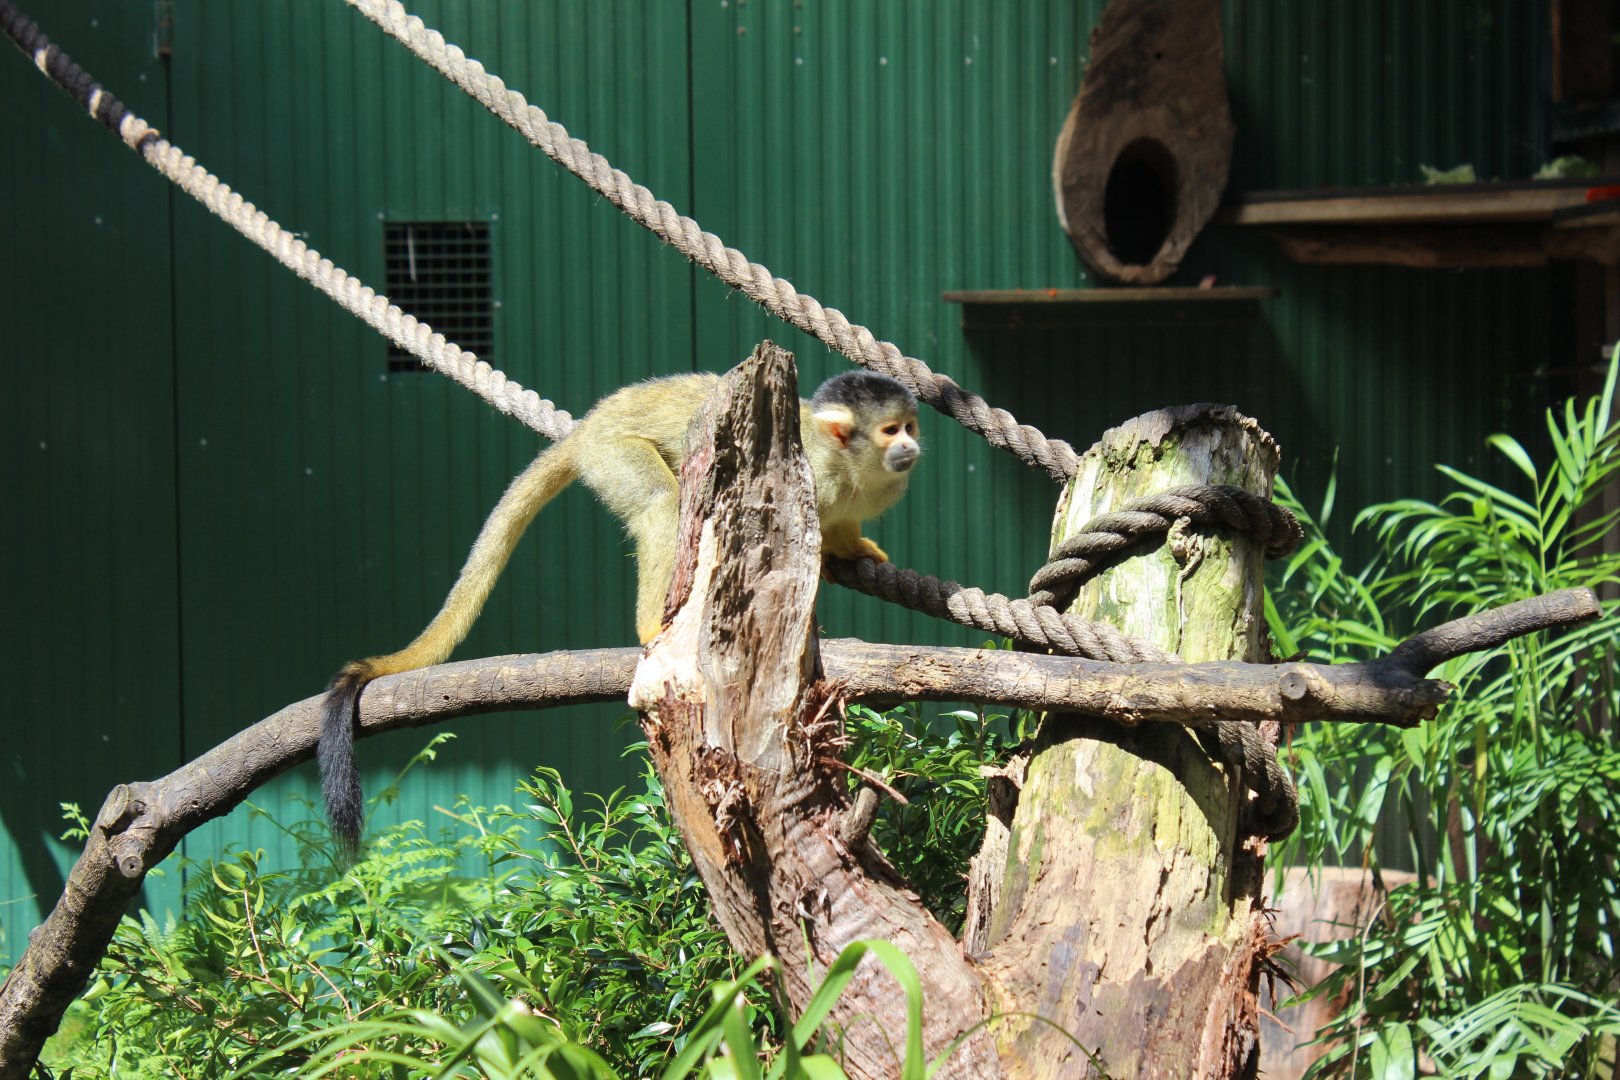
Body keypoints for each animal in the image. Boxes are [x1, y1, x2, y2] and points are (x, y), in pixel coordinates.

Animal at [319, 368, 921, 856]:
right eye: (891, 430)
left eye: (910, 425)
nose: (913, 446)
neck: (848, 466)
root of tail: (590, 423)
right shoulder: (807, 474)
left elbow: (833, 534)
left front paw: (853, 550)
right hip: (613, 453)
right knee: (660, 501)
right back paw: (654, 623)